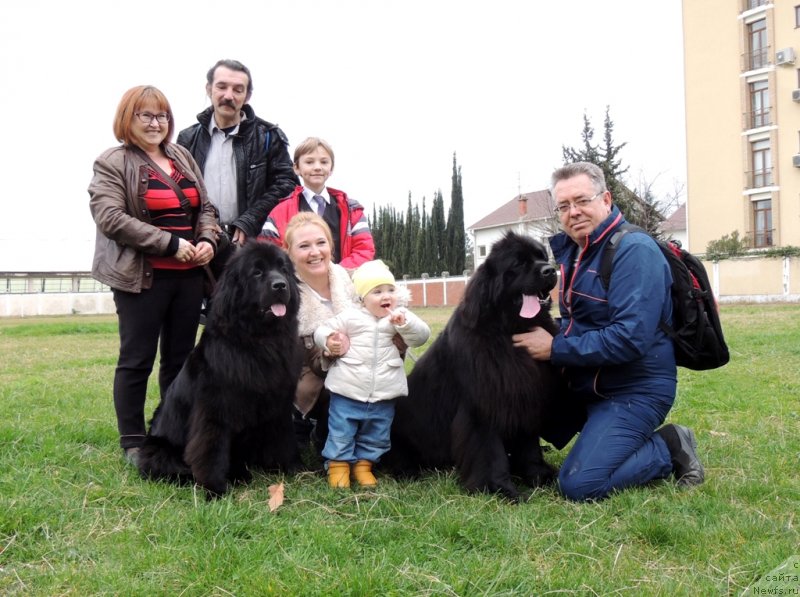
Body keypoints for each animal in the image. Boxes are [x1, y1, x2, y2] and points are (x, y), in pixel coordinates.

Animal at [136, 242, 302, 498]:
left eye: (283, 270)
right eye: (257, 272)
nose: (280, 285)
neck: (259, 340)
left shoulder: (279, 400)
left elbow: (283, 436)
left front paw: (288, 468)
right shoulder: (215, 408)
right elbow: (210, 447)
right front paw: (214, 489)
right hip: (157, 450)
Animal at [388, 230, 564, 500]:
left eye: (542, 256)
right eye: (518, 263)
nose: (550, 270)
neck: (508, 330)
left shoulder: (523, 397)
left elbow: (530, 445)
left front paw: (540, 476)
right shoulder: (482, 406)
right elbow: (490, 452)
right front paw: (500, 488)